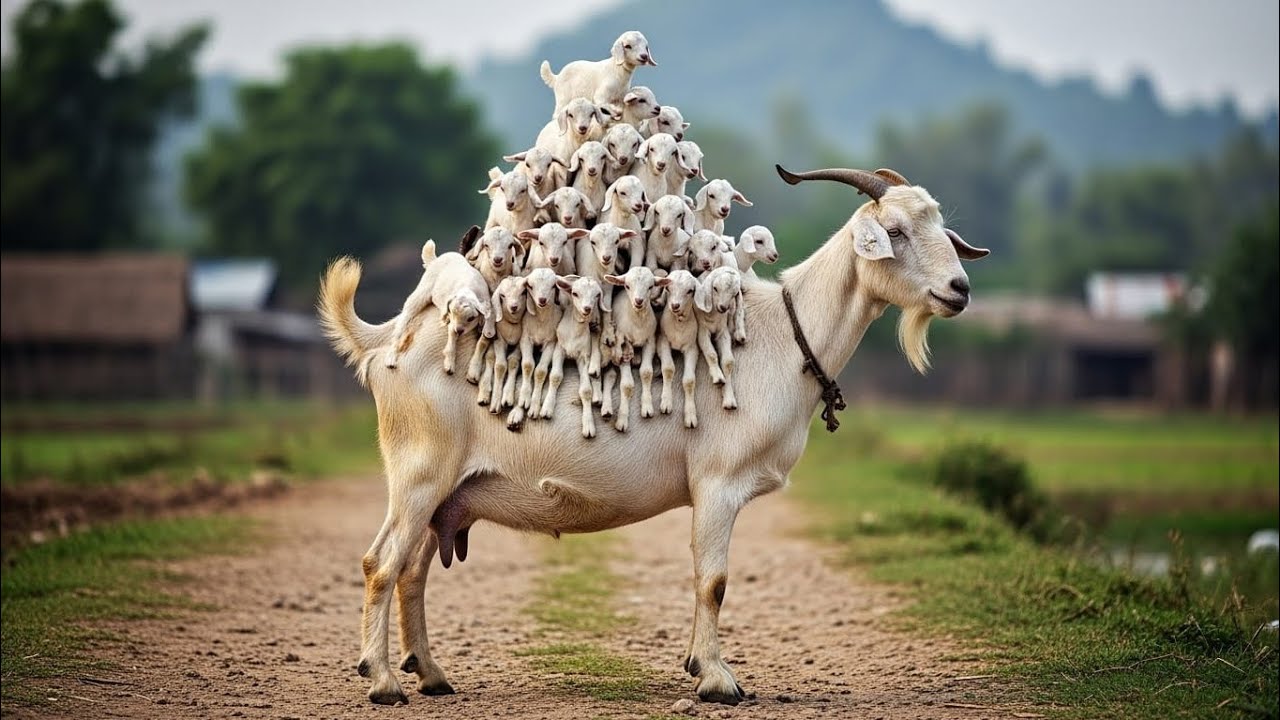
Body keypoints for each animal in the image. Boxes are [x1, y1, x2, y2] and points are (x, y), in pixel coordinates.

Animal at [318, 165, 988, 706]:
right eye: (895, 232)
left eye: (940, 227)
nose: (959, 290)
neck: (783, 333)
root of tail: (389, 342)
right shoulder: (719, 484)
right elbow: (713, 581)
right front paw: (718, 681)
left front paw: (698, 665)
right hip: (418, 474)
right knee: (381, 563)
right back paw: (383, 682)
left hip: (447, 493)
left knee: (412, 570)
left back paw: (431, 675)